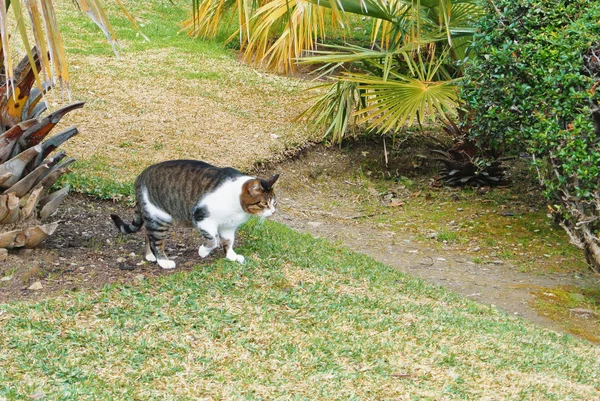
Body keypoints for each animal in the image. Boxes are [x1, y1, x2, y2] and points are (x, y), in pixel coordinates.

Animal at [110, 159, 278, 268]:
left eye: (274, 202)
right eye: (264, 203)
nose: (273, 212)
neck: (236, 201)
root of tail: (140, 177)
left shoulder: (228, 227)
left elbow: (228, 241)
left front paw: (231, 256)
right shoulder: (202, 218)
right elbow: (213, 240)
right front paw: (203, 251)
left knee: (148, 234)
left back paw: (150, 255)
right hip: (160, 218)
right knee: (156, 241)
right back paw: (163, 261)